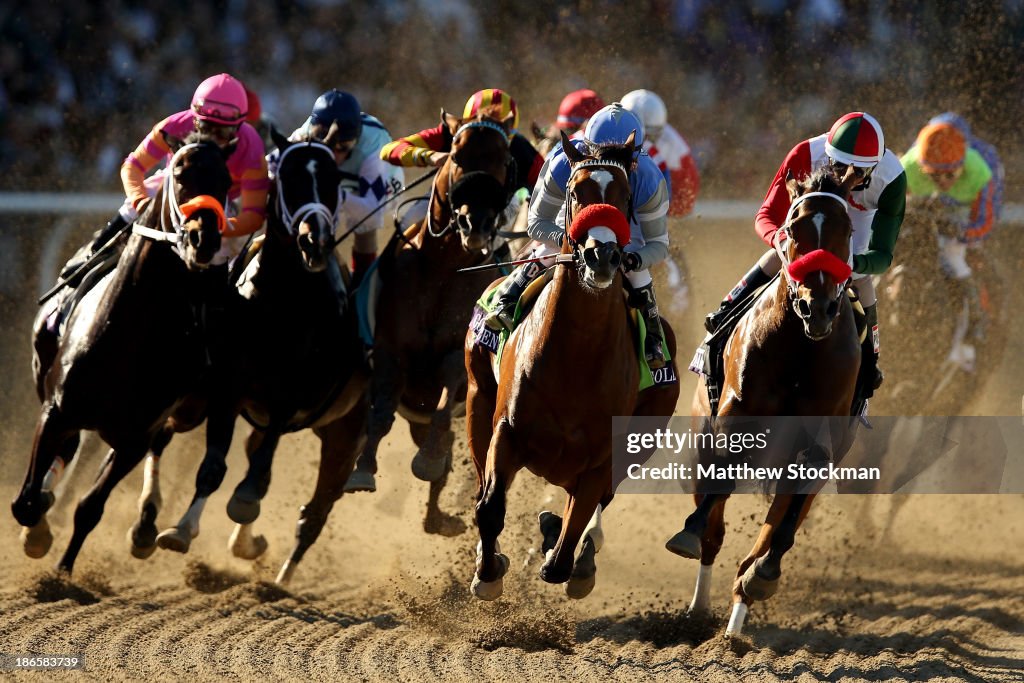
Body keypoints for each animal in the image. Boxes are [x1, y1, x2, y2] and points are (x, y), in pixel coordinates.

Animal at [14, 136, 232, 573]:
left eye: (227, 181)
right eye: (180, 173)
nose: (204, 240)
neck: (126, 334)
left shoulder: (135, 437)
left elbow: (90, 508)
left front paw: (62, 573)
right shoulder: (56, 410)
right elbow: (28, 502)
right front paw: (38, 530)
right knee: (64, 451)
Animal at [346, 107, 520, 536]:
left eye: (503, 161)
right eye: (456, 155)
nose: (476, 225)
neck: (444, 268)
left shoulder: (456, 354)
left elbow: (445, 405)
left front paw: (427, 461)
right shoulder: (391, 350)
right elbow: (380, 412)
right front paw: (363, 469)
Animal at [466, 131, 679, 602]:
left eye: (624, 196)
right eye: (576, 191)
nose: (602, 256)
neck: (577, 355)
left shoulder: (603, 459)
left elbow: (569, 540)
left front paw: (562, 553)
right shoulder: (506, 430)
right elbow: (490, 507)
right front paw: (488, 573)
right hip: (477, 397)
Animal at [663, 167, 864, 638]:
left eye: (846, 230)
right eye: (792, 229)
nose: (817, 308)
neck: (801, 350)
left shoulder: (822, 441)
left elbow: (785, 522)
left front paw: (764, 574)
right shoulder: (733, 418)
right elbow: (714, 502)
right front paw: (688, 534)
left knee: (770, 532)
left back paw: (742, 608)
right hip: (700, 441)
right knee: (713, 530)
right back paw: (701, 608)